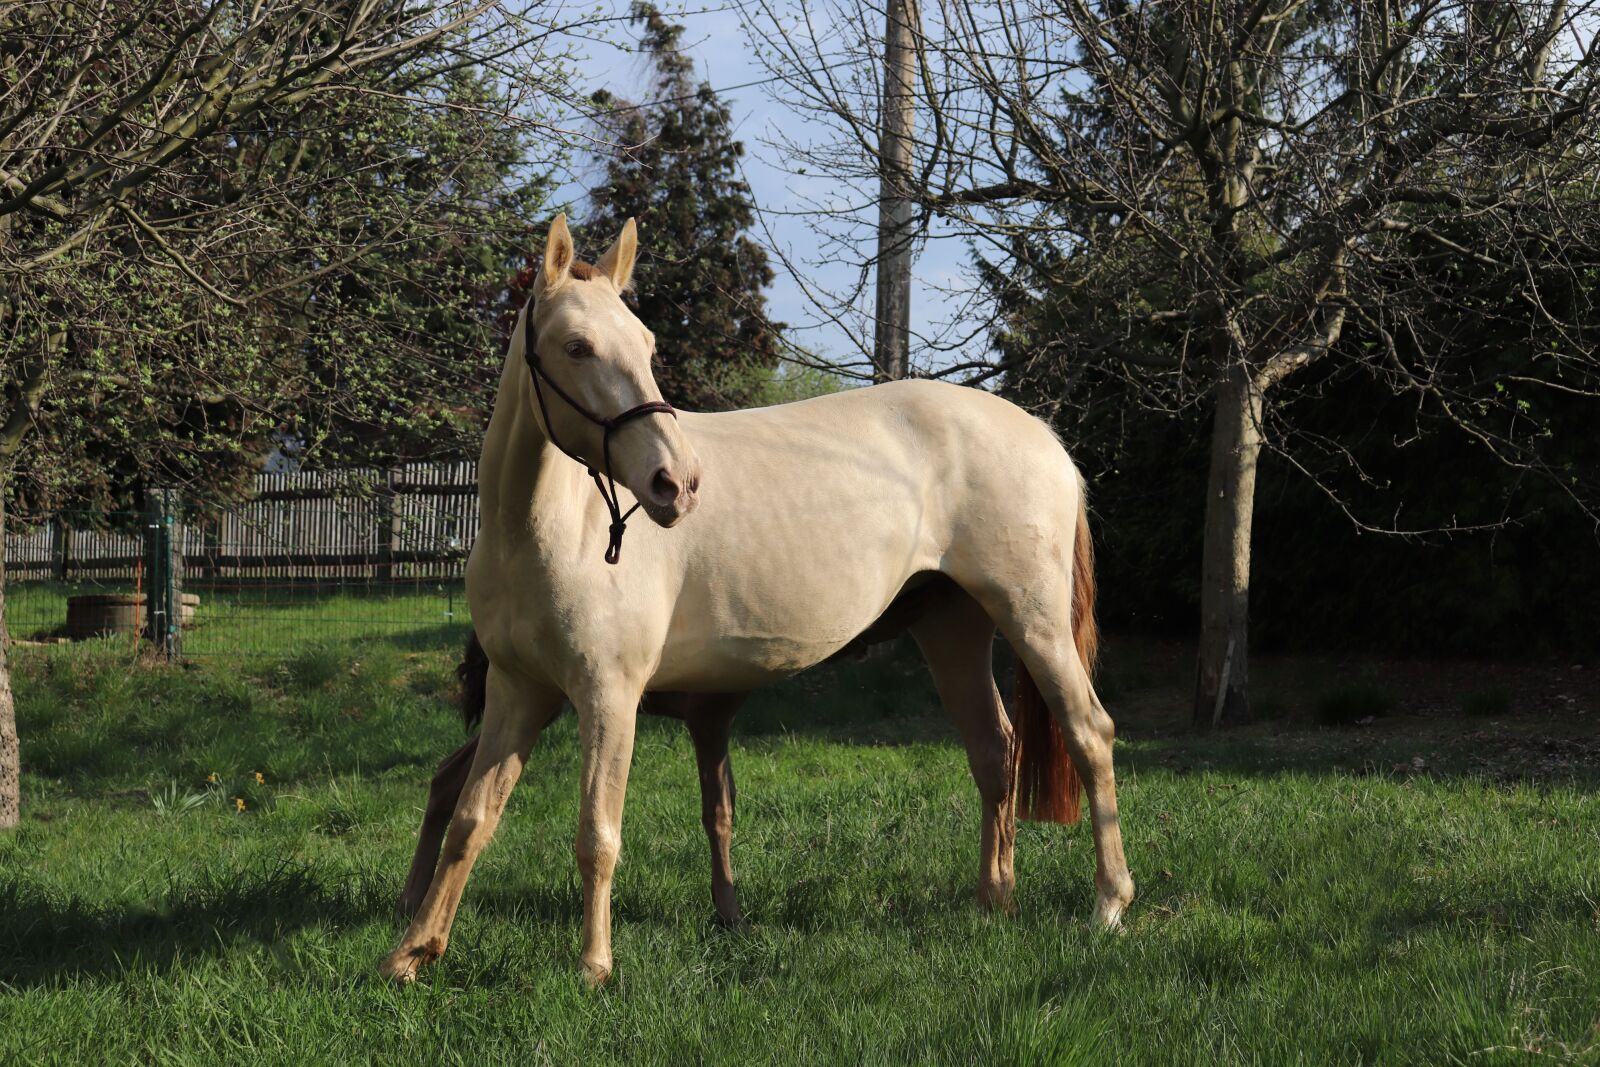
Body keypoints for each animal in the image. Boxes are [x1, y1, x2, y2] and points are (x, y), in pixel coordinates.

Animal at [380, 215, 1133, 986]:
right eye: (577, 346)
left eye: (647, 345)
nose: (676, 482)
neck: (549, 528)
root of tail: (1043, 437)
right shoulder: (519, 692)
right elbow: (472, 817)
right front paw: (413, 951)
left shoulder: (606, 695)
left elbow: (597, 832)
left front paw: (594, 965)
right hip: (951, 627)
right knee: (992, 749)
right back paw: (994, 898)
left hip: (1034, 622)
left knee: (1088, 733)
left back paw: (1108, 904)